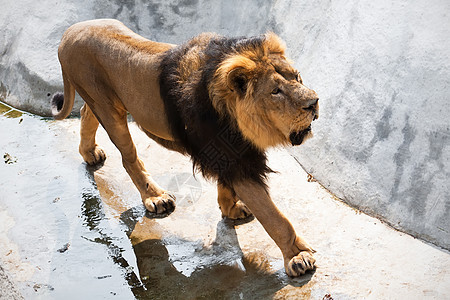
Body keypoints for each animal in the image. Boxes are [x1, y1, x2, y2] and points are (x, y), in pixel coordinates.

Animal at [51, 18, 320, 276]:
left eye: (297, 77)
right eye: (276, 91)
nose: (314, 102)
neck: (233, 113)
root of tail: (68, 33)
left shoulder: (232, 153)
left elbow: (228, 187)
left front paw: (230, 208)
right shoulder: (234, 158)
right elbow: (273, 216)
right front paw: (297, 257)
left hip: (103, 102)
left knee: (86, 113)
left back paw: (90, 153)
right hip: (109, 110)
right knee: (129, 157)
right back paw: (155, 197)